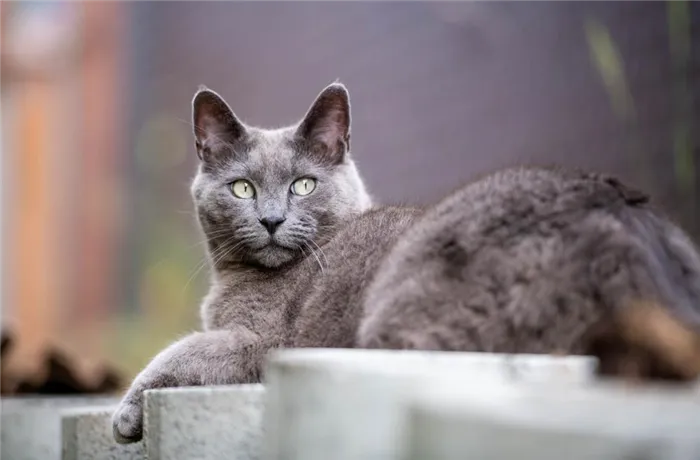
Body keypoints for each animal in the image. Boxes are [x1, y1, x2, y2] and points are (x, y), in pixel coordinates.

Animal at [112, 82, 700, 442]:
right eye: (242, 188)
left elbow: (179, 353)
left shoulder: (258, 341)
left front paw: (124, 413)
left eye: (303, 184)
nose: (273, 219)